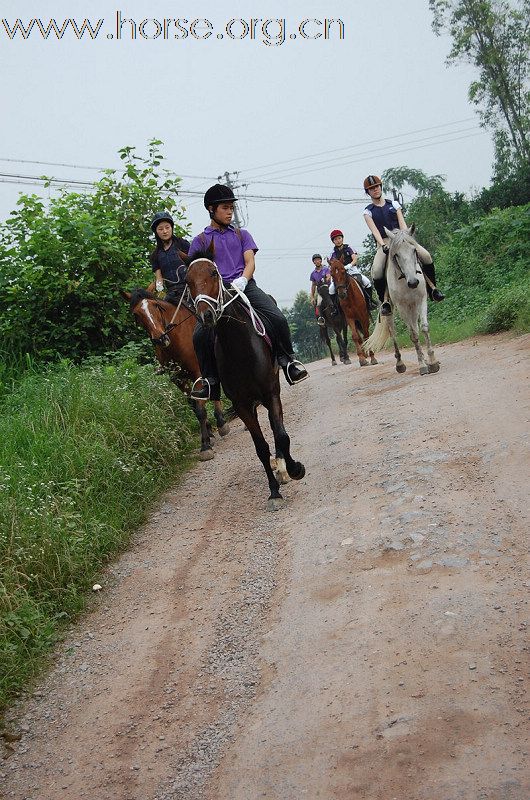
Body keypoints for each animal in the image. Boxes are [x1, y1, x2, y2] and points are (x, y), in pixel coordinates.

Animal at [124, 290, 231, 460]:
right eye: (136, 314)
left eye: (156, 306)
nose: (160, 339)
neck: (176, 338)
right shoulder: (179, 380)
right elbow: (193, 405)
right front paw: (209, 433)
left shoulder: (197, 373)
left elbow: (199, 408)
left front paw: (205, 445)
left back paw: (222, 423)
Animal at [184, 250, 304, 506]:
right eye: (187, 281)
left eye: (214, 273)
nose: (206, 315)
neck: (238, 346)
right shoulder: (241, 405)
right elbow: (260, 447)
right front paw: (274, 492)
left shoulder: (271, 392)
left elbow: (281, 435)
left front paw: (294, 469)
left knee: (277, 428)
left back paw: (283, 467)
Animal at [364, 225, 438, 376]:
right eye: (396, 255)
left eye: (414, 250)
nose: (413, 282)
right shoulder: (402, 307)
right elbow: (413, 335)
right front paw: (422, 366)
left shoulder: (421, 300)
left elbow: (424, 328)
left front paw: (432, 362)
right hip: (391, 311)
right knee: (393, 332)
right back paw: (400, 364)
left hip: (413, 306)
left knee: (415, 326)